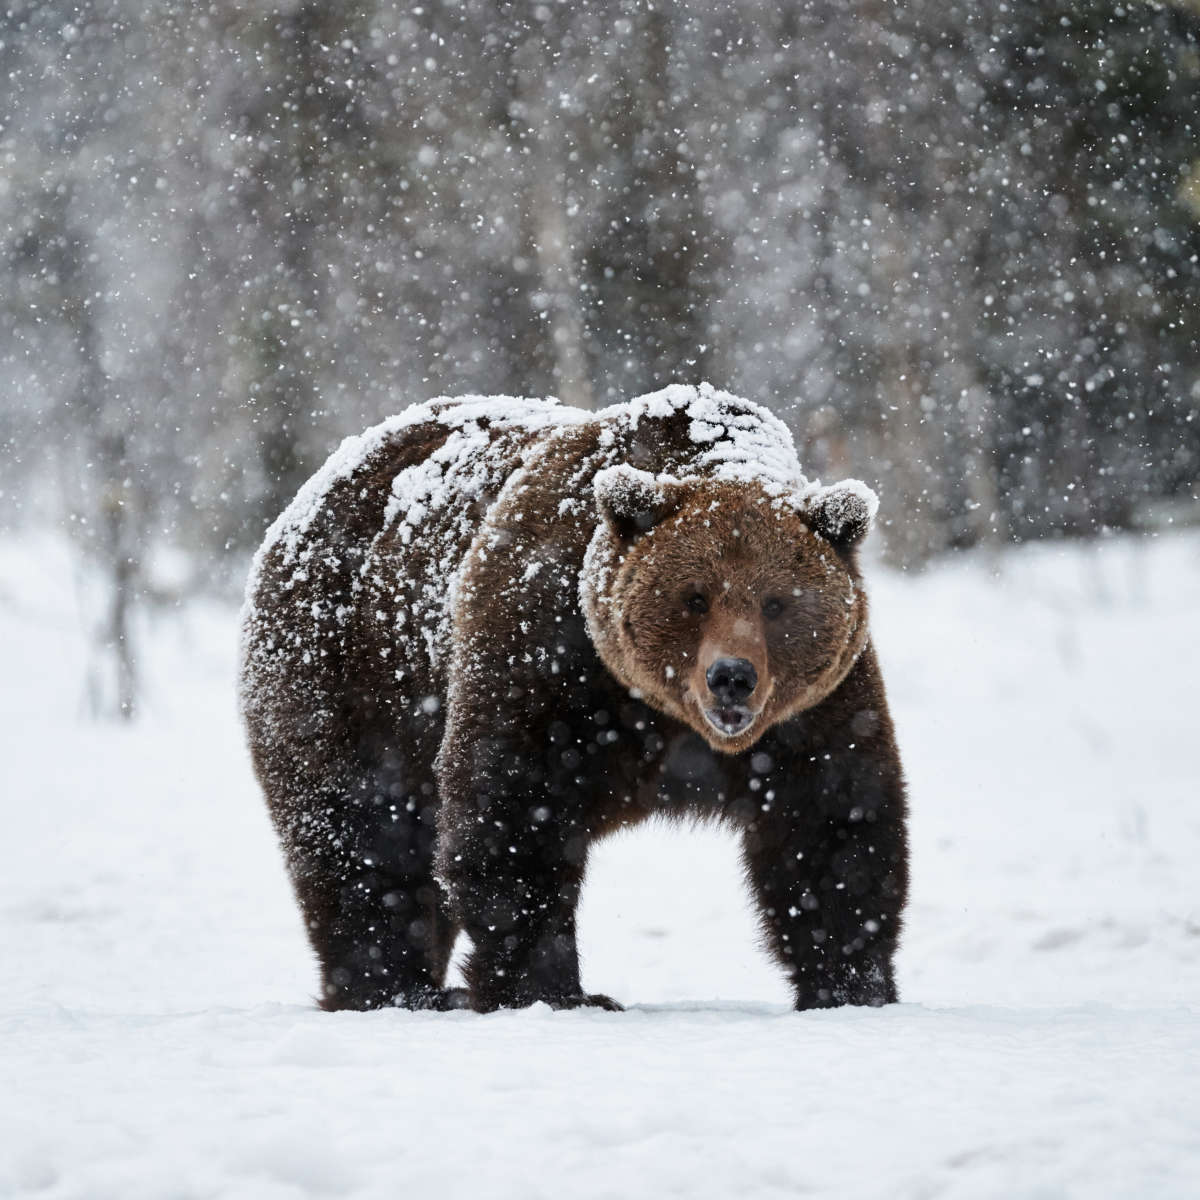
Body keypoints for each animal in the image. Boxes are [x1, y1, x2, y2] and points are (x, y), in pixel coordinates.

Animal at [240, 383, 909, 1013]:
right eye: (694, 597)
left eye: (776, 603)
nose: (732, 676)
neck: (664, 716)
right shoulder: (546, 658)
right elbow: (514, 816)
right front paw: (553, 990)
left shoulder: (814, 711)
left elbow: (833, 825)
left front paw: (851, 985)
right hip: (351, 674)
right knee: (363, 835)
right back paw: (395, 989)